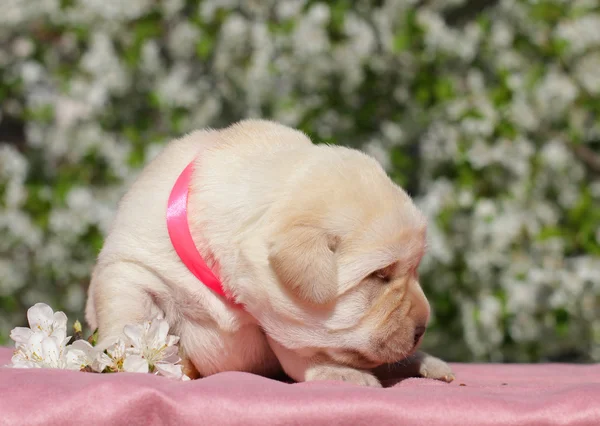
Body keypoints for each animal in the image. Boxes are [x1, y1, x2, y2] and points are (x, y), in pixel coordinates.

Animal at [85, 120, 454, 386]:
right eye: (380, 275)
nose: (422, 328)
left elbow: (304, 351)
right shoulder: (132, 266)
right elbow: (129, 314)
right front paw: (125, 361)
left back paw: (431, 364)